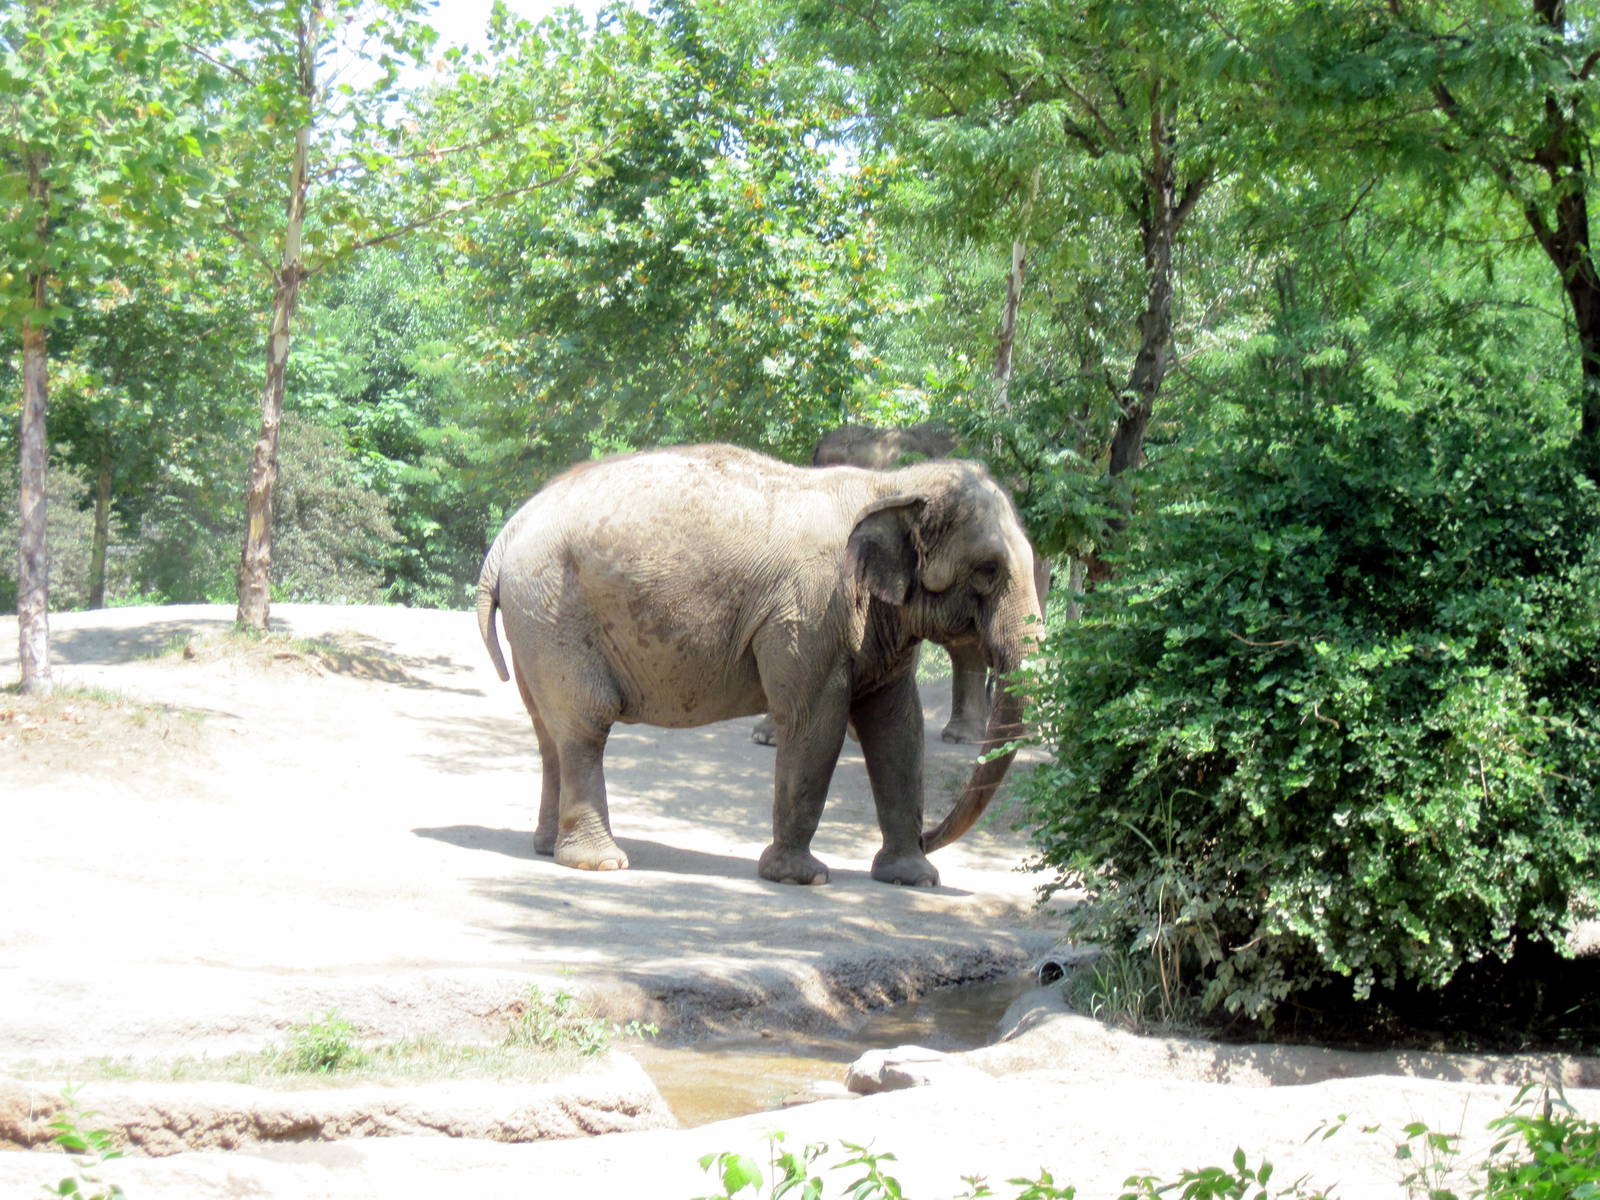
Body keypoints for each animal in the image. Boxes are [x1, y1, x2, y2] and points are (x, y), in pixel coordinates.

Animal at [476, 443, 1044, 887]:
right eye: (988, 570)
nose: (930, 837)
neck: (890, 485)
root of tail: (507, 535)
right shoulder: (810, 611)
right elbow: (816, 722)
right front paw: (801, 877)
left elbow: (898, 727)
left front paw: (913, 878)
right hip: (555, 611)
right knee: (585, 723)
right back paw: (600, 864)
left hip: (536, 619)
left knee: (549, 730)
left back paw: (549, 848)